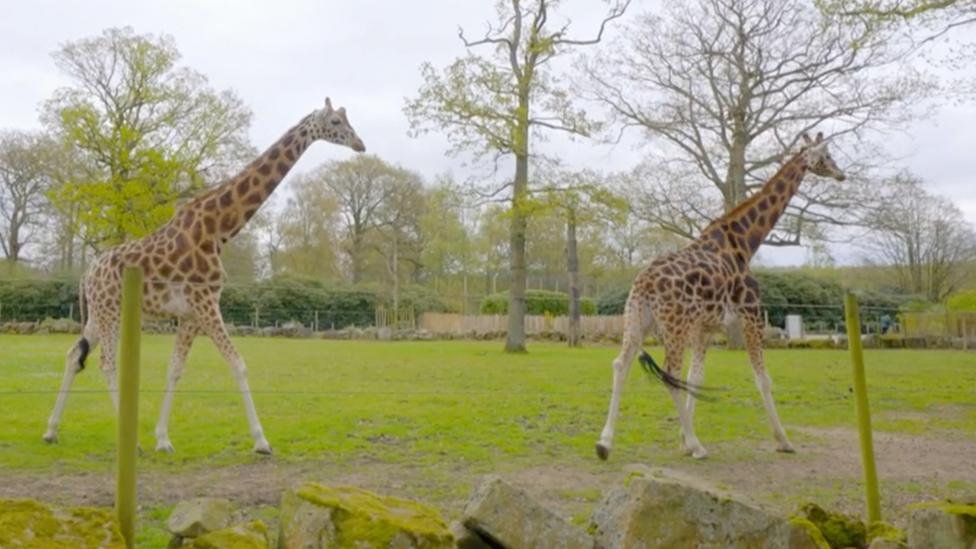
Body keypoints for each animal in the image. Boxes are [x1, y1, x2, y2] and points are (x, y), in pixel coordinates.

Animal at [42, 98, 366, 455]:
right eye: (335, 122)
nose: (360, 144)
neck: (219, 229)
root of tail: (86, 274)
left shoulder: (191, 314)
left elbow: (175, 370)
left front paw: (163, 439)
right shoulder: (206, 302)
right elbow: (238, 364)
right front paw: (261, 441)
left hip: (99, 314)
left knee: (74, 355)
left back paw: (51, 431)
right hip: (110, 312)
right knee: (106, 365)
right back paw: (132, 443)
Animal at [595, 132, 845, 461]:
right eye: (827, 154)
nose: (841, 174)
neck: (745, 242)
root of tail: (643, 284)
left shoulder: (705, 327)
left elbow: (695, 377)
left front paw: (682, 439)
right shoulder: (751, 315)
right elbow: (762, 379)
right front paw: (783, 440)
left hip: (637, 320)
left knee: (620, 365)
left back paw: (604, 444)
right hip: (673, 327)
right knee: (668, 374)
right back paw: (698, 446)